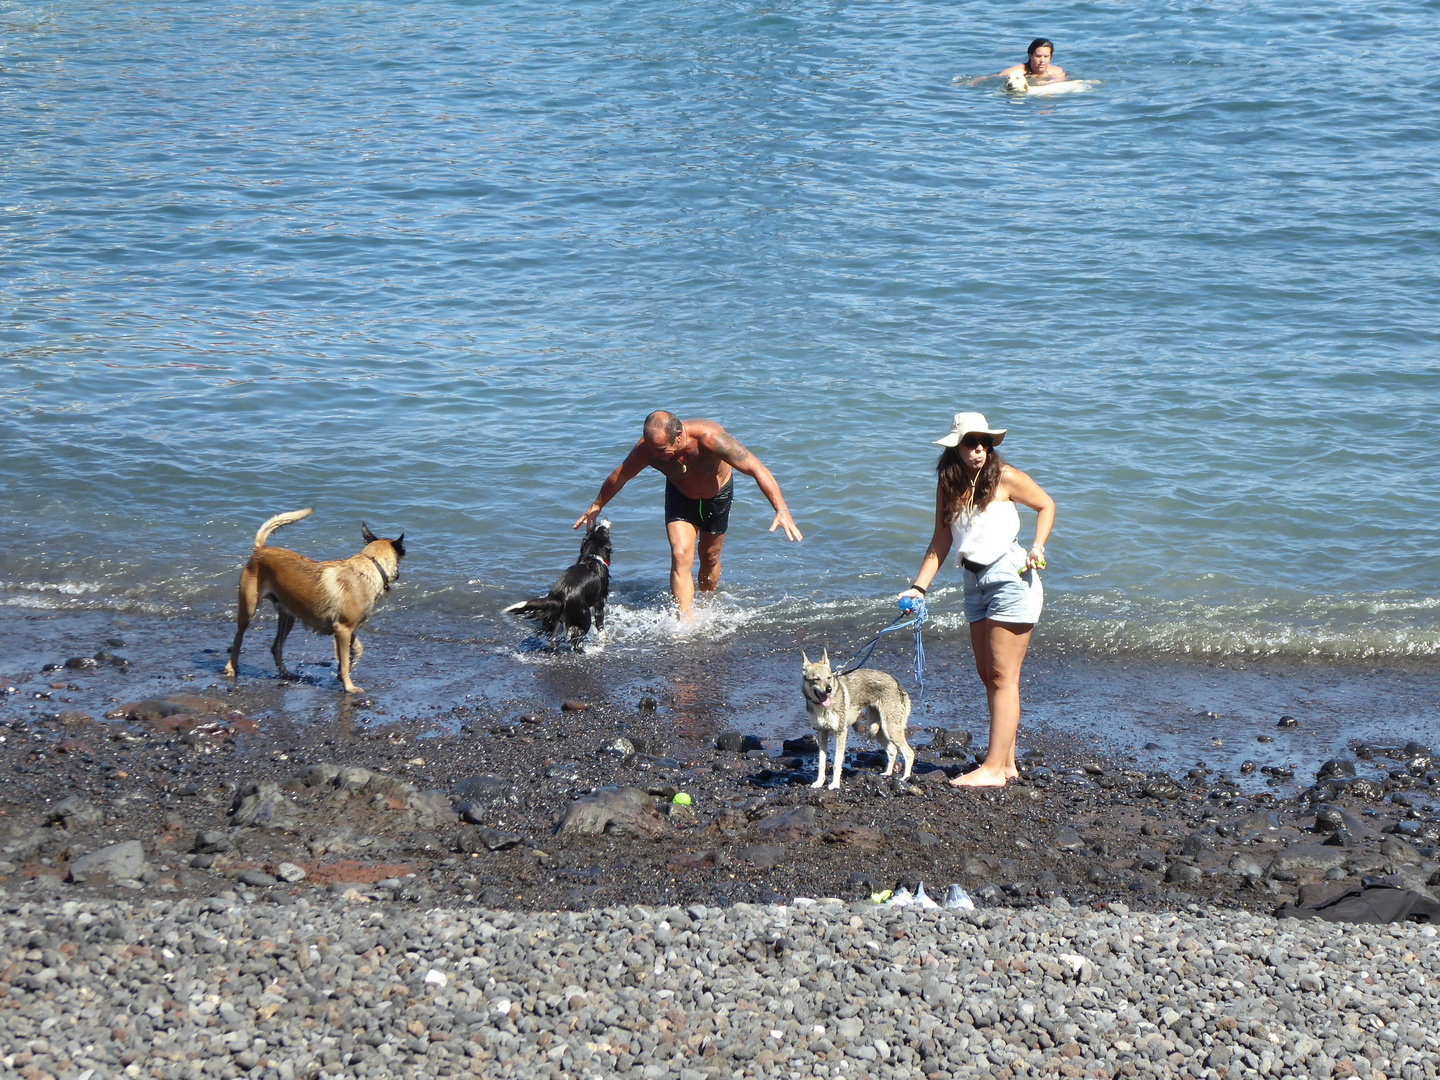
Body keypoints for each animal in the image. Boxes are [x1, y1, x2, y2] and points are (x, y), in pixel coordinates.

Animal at [221, 509, 408, 694]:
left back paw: (286, 674)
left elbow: (357, 650)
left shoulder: (347, 628)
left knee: (276, 647)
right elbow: (344, 662)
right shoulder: (342, 629)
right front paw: (348, 686)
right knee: (238, 638)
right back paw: (231, 668)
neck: (372, 565)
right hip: (249, 608)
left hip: (288, 616)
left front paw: (344, 671)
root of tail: (260, 550)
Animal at [504, 521, 610, 650]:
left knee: (552, 640)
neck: (592, 555)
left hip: (554, 618)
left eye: (595, 527)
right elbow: (600, 627)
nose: (604, 519)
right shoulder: (600, 601)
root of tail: (561, 596)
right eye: (604, 529)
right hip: (584, 618)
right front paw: (605, 640)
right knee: (576, 642)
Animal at [800, 650, 910, 794]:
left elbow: (836, 763)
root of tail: (897, 683)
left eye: (829, 677)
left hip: (890, 730)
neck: (821, 707)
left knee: (909, 753)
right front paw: (819, 782)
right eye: (816, 679)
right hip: (878, 730)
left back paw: (905, 778)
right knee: (892, 750)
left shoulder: (841, 733)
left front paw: (835, 784)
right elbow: (821, 764)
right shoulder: (822, 733)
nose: (829, 689)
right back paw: (887, 773)